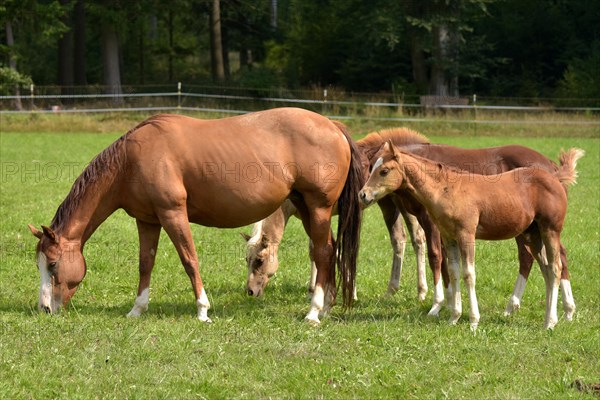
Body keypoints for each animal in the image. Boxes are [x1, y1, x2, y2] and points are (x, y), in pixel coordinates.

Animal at [358, 142, 584, 330]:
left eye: (384, 170)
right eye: (372, 167)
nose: (363, 195)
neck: (446, 189)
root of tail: (555, 176)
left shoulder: (466, 234)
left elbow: (468, 273)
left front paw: (473, 320)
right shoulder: (449, 236)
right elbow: (453, 271)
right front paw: (454, 317)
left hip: (550, 230)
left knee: (555, 267)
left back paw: (551, 321)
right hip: (532, 234)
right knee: (545, 268)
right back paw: (551, 316)